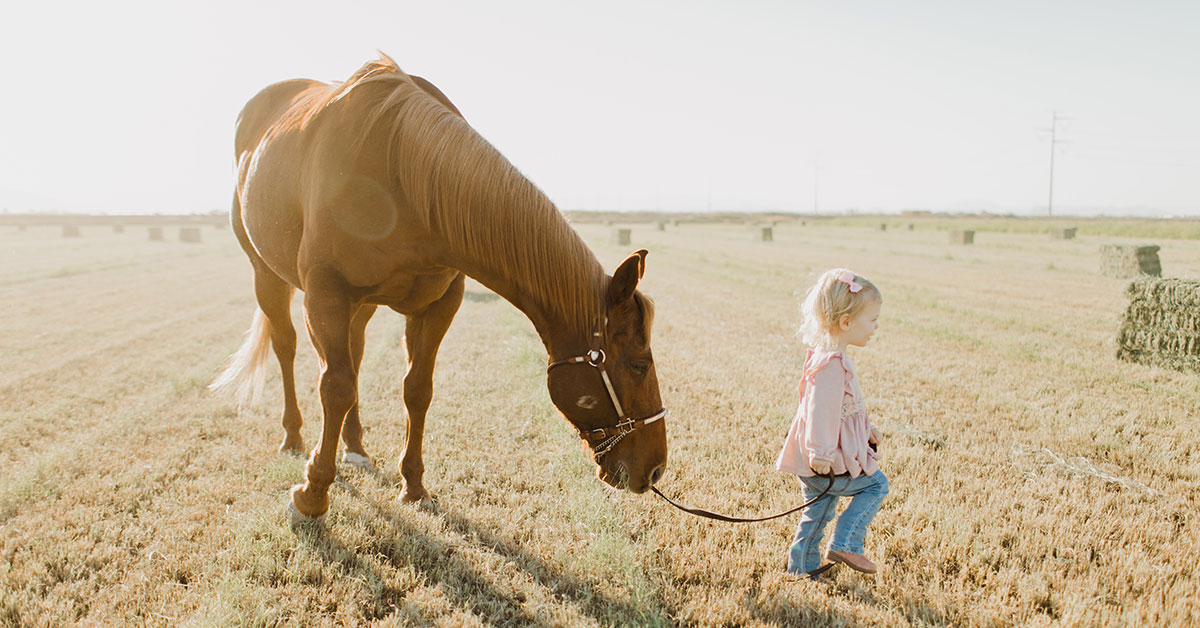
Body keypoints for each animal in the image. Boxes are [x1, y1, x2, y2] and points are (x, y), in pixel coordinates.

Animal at [212, 54, 672, 523]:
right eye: (639, 364)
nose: (655, 469)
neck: (401, 175)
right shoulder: (326, 294)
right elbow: (335, 387)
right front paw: (312, 492)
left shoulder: (437, 306)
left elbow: (416, 390)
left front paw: (413, 486)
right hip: (268, 276)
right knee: (287, 348)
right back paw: (292, 437)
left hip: (360, 306)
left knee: (354, 356)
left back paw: (355, 447)